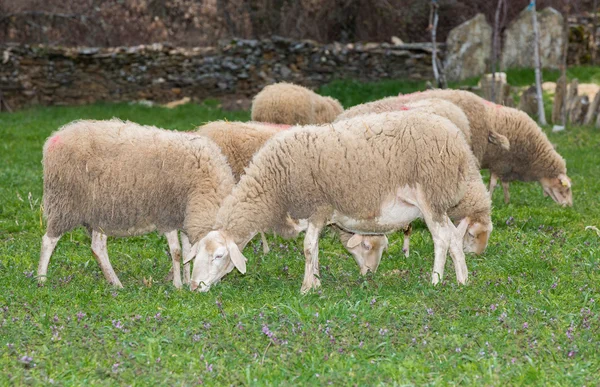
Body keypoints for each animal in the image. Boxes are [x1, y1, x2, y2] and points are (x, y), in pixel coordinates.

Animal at [38, 119, 236, 290]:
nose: (201, 287)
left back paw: (115, 283)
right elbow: (177, 252)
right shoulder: (167, 215)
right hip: (65, 203)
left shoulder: (185, 218)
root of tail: (56, 137)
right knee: (49, 240)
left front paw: (186, 281)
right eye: (218, 255)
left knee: (97, 248)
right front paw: (178, 285)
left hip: (100, 212)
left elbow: (187, 253)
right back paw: (41, 278)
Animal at [394, 90, 572, 206]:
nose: (569, 206)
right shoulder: (500, 162)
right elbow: (494, 183)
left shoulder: (504, 164)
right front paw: (493, 198)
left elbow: (504, 184)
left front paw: (507, 201)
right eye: (566, 189)